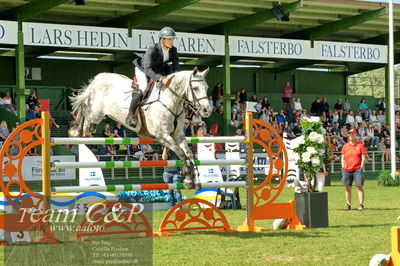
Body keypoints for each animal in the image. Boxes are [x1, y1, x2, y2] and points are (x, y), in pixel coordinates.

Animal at [69, 68, 212, 189]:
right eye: (195, 88)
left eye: (206, 88)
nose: (207, 110)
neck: (171, 102)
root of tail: (98, 78)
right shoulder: (162, 136)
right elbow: (181, 153)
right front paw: (187, 178)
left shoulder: (178, 135)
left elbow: (189, 154)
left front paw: (196, 180)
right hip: (95, 114)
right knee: (84, 108)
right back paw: (76, 131)